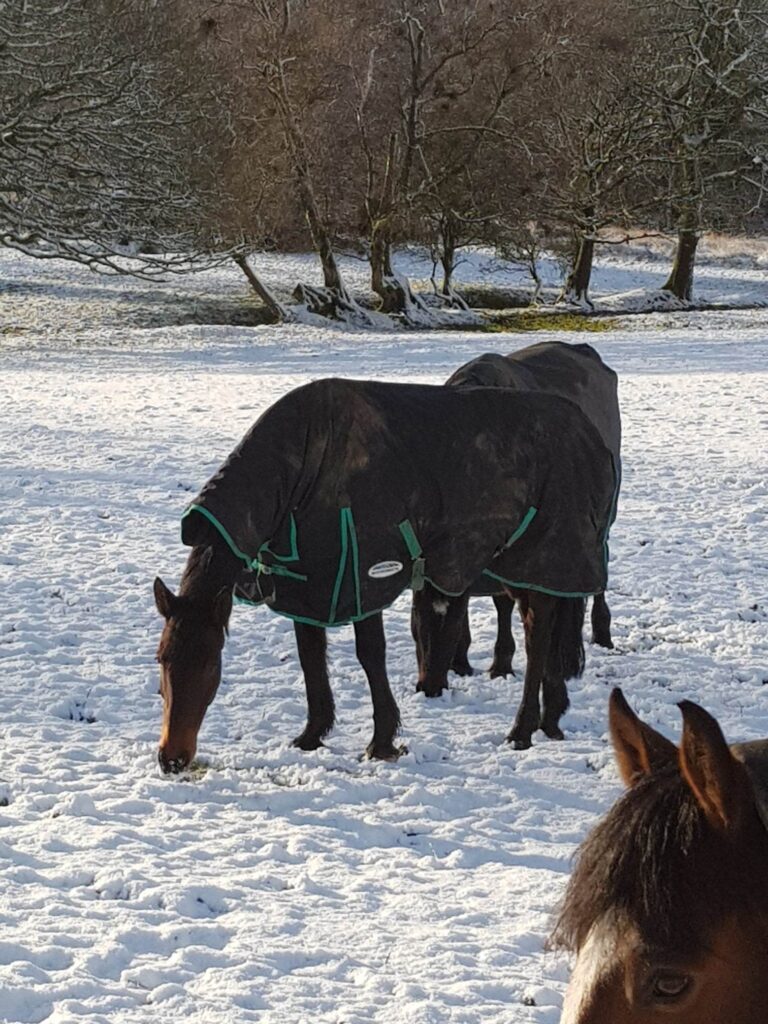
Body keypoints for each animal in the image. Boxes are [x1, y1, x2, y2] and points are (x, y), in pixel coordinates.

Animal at [153, 376, 618, 770]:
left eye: (211, 664)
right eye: (162, 659)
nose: (171, 758)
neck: (303, 466)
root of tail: (588, 432)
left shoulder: (365, 577)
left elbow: (370, 656)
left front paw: (382, 742)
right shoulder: (308, 588)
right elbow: (311, 660)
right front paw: (312, 735)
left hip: (541, 559)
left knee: (538, 638)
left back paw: (521, 730)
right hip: (527, 570)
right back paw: (551, 718)